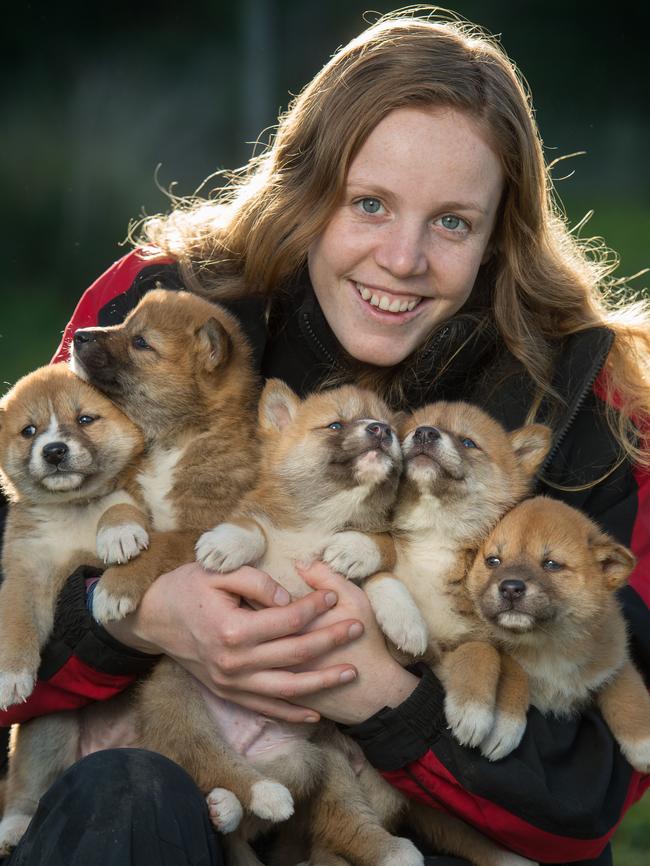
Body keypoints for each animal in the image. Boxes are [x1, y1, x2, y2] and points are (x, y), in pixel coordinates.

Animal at [0, 362, 146, 852]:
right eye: (29, 431)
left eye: (85, 419)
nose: (55, 451)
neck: (73, 513)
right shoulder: (25, 574)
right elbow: (17, 625)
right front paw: (11, 677)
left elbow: (119, 505)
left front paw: (118, 533)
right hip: (49, 729)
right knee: (28, 787)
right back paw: (14, 826)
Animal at [454, 492, 650, 768]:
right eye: (493, 561)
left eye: (551, 564)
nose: (510, 588)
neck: (549, 646)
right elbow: (513, 669)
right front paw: (504, 725)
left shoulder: (614, 660)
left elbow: (630, 693)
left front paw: (644, 746)